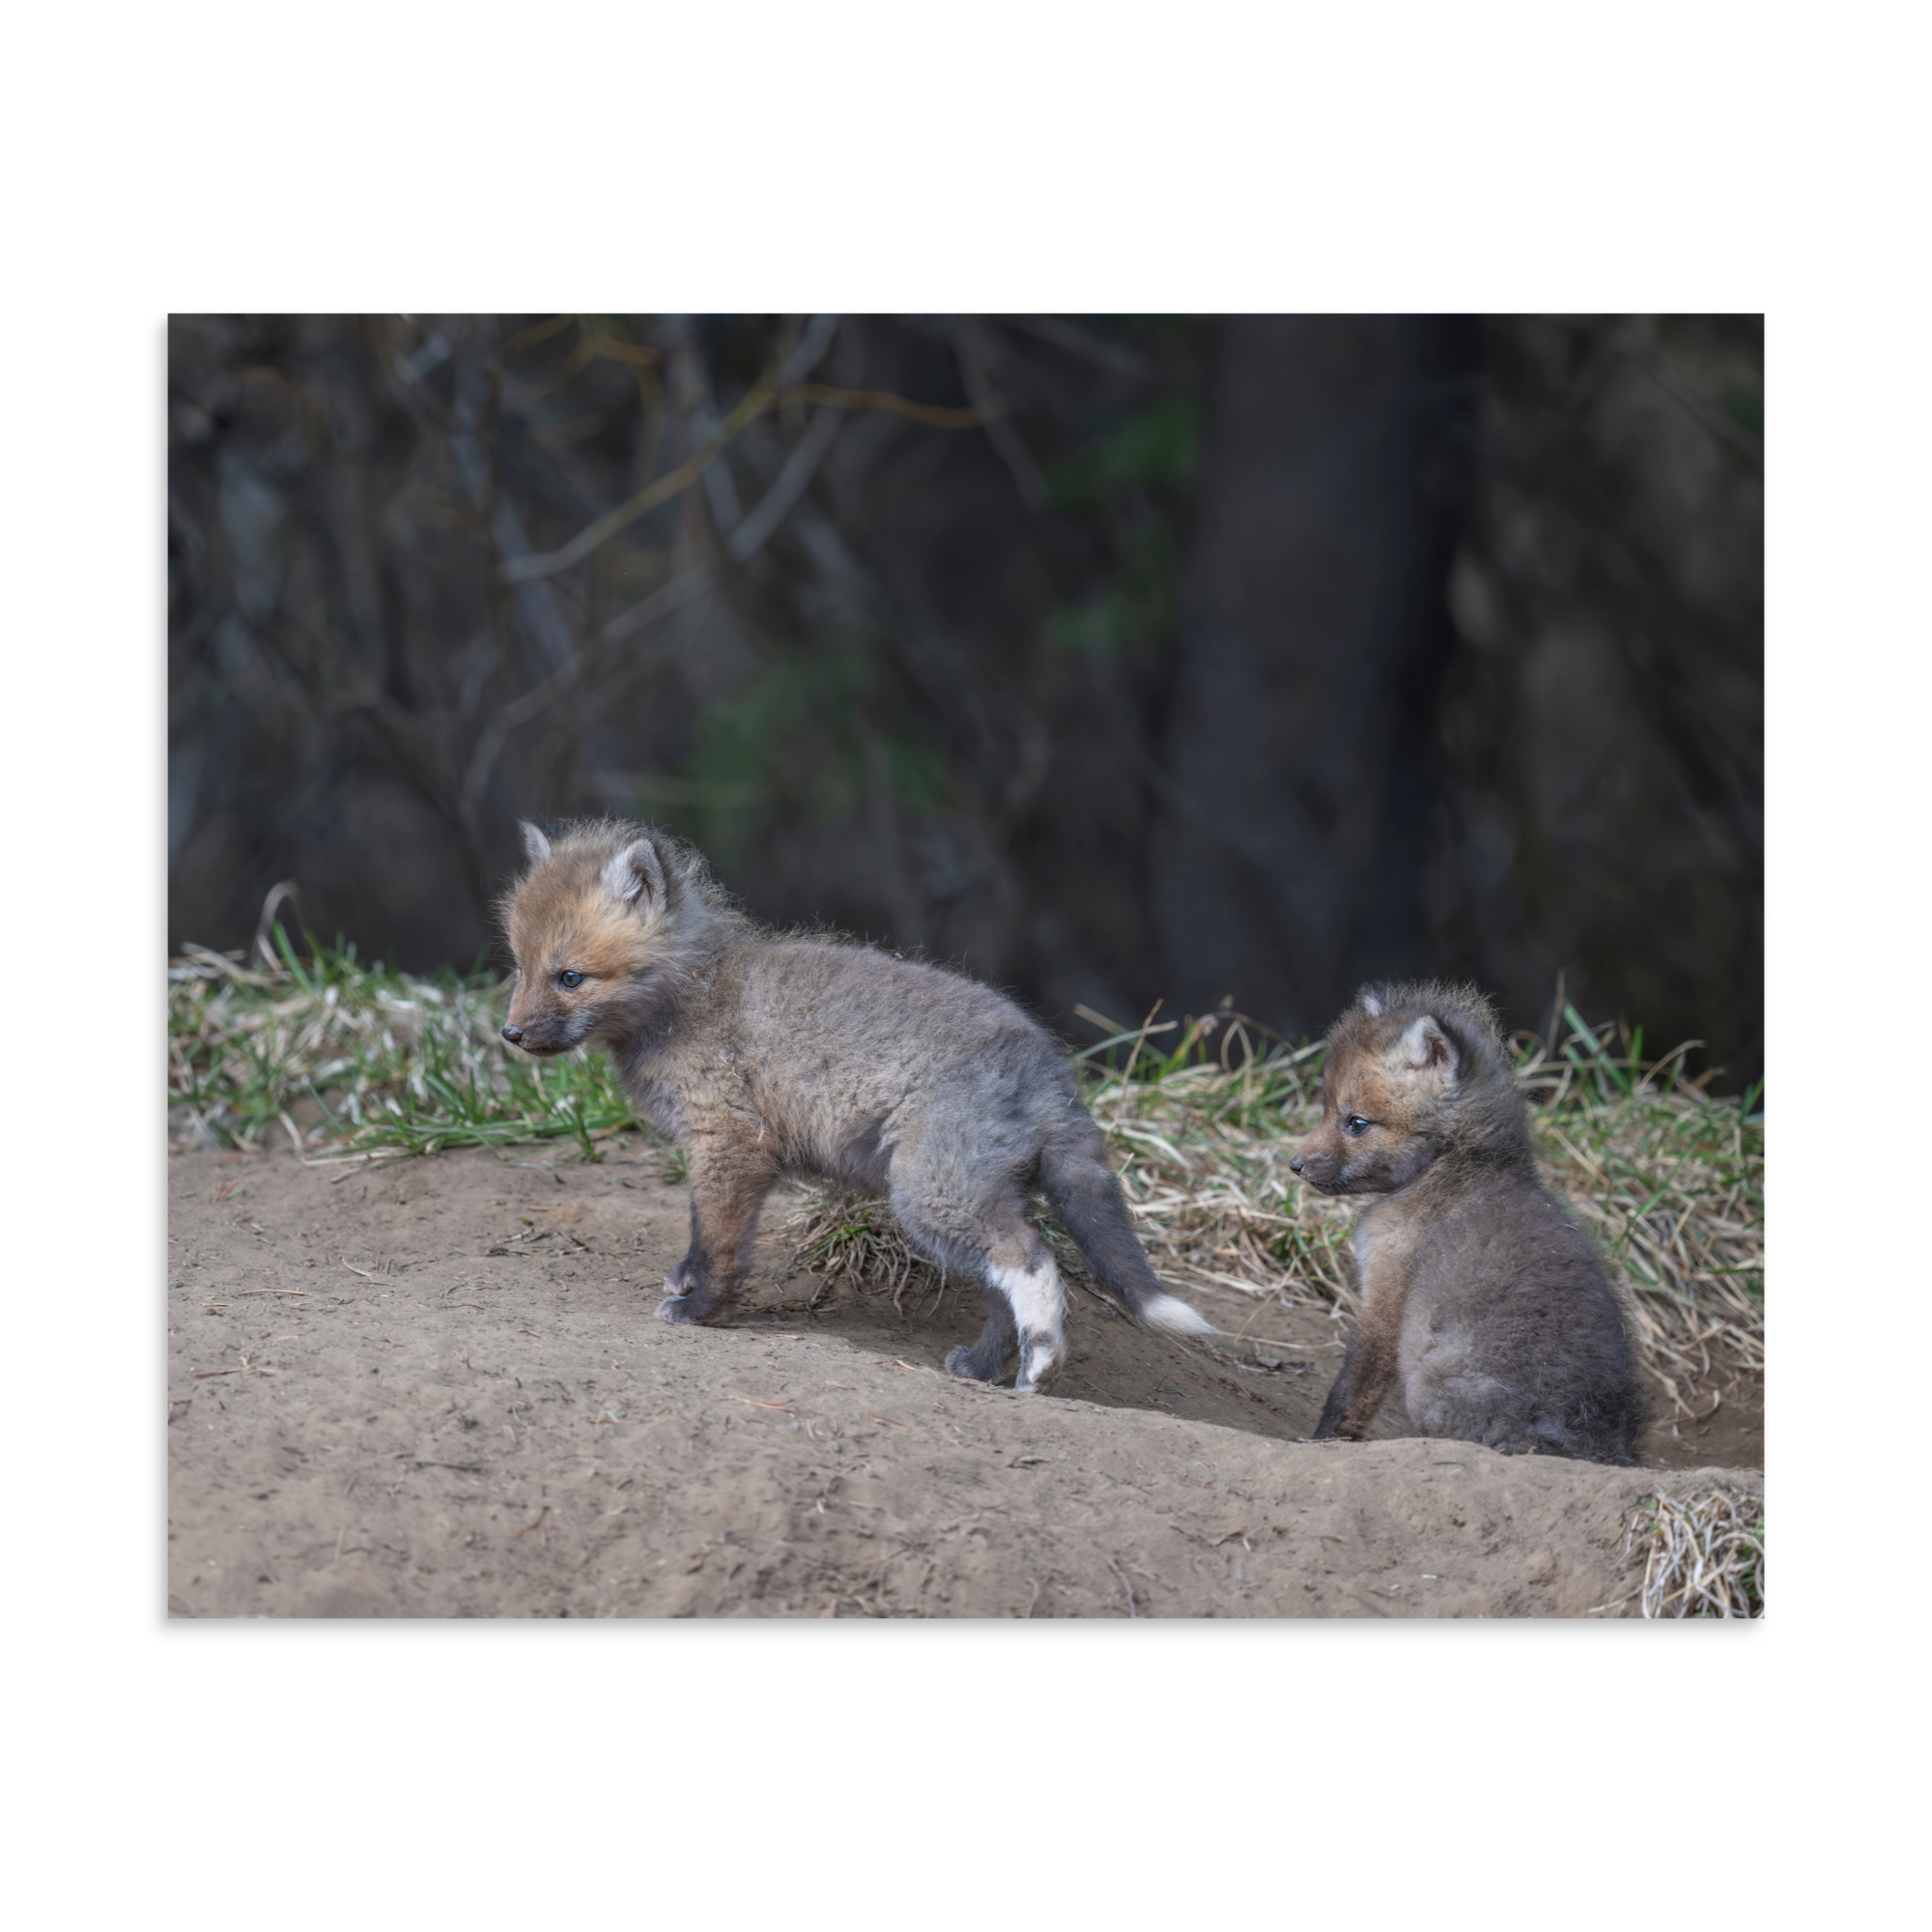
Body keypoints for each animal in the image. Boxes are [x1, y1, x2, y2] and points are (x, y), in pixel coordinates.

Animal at [497, 818, 1215, 1391]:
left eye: (570, 977)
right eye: (520, 967)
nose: (510, 1035)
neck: (692, 996)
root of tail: (1049, 1066)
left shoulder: (730, 1143)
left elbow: (719, 1242)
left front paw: (702, 1310)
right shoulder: (725, 1153)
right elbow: (703, 1235)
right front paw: (689, 1285)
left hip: (931, 1195)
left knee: (1031, 1259)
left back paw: (1041, 1365)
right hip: (964, 1201)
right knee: (1001, 1287)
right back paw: (984, 1367)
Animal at [1290, 981, 1644, 1465]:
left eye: (1357, 1123)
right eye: (1327, 1109)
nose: (1294, 1165)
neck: (1457, 1163)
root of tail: (1595, 1446)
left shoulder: (1386, 1292)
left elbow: (1352, 1388)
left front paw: (1321, 1441)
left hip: (1426, 1387)